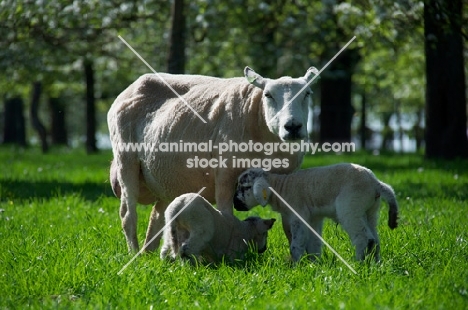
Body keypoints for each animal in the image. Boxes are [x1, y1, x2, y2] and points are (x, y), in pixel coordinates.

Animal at [108, 66, 320, 252]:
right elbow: (226, 214)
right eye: (268, 95)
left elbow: (289, 223)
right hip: (126, 160)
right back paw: (134, 255)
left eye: (308, 93)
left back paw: (148, 254)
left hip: (167, 180)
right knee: (128, 215)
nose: (293, 127)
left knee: (157, 216)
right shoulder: (225, 174)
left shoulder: (287, 182)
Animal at [234, 163, 398, 262]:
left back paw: (358, 262)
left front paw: (296, 265)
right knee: (375, 239)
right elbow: (314, 242)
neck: (281, 188)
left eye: (245, 187)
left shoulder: (298, 215)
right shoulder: (313, 218)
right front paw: (314, 264)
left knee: (364, 238)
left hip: (351, 208)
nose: (235, 204)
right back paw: (375, 263)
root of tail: (376, 183)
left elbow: (297, 244)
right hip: (370, 211)